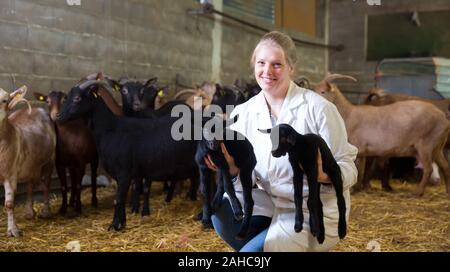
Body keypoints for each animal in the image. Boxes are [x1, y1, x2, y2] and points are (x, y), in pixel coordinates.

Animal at [0, 86, 56, 236]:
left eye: (5, 100)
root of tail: (36, 108)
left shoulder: (10, 175)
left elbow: (9, 204)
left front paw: (13, 230)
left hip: (50, 159)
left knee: (47, 184)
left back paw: (46, 211)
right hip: (31, 164)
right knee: (30, 186)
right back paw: (29, 212)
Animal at [57, 78, 198, 230]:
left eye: (77, 98)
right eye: (66, 97)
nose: (58, 116)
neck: (110, 128)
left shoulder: (124, 172)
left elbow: (119, 198)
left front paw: (115, 225)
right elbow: (122, 197)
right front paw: (122, 223)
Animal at [312, 73, 450, 196]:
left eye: (323, 91)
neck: (349, 114)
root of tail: (443, 119)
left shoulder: (358, 148)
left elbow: (359, 170)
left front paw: (355, 190)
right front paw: (360, 189)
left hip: (426, 144)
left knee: (429, 168)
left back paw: (417, 193)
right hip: (437, 146)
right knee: (445, 166)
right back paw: (447, 192)